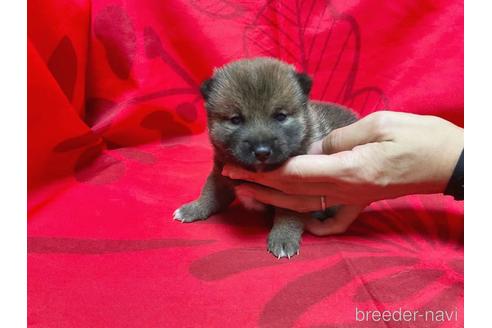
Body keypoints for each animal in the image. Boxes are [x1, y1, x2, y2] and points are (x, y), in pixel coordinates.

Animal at [174, 58, 358, 258]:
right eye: (236, 119)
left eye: (280, 116)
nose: (262, 151)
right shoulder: (220, 174)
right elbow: (209, 194)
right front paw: (194, 208)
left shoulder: (294, 192)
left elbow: (287, 215)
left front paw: (283, 239)